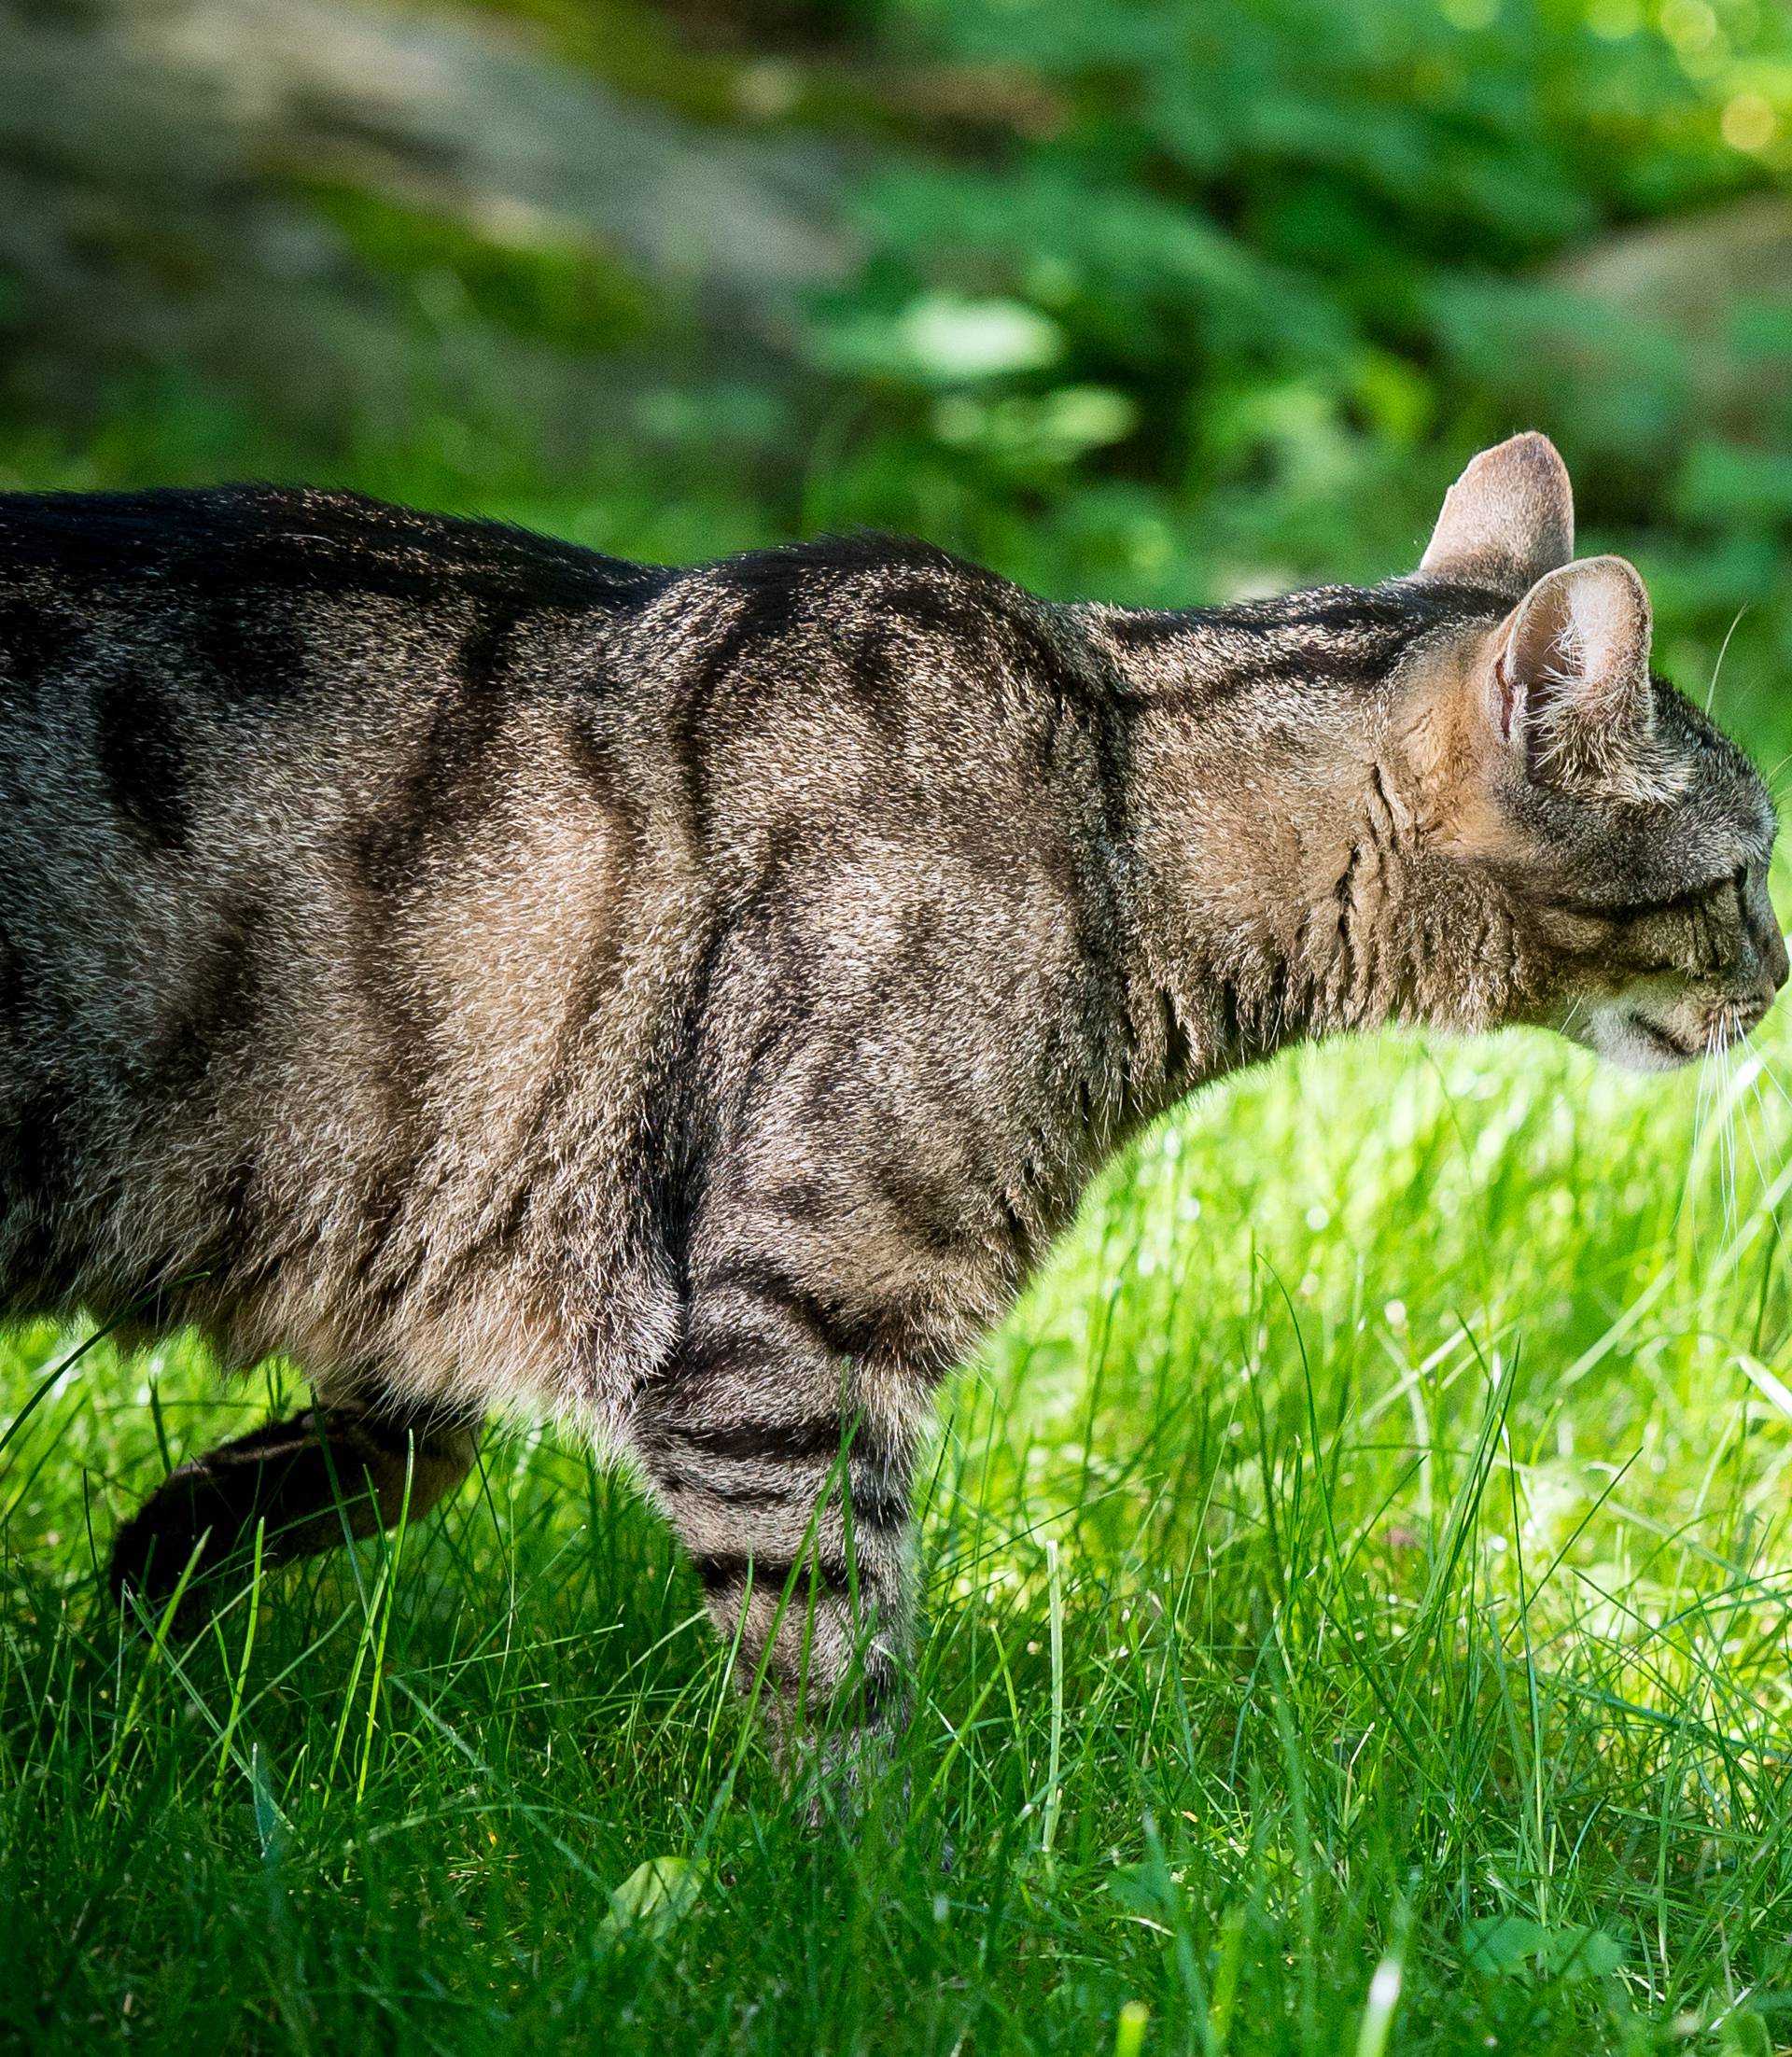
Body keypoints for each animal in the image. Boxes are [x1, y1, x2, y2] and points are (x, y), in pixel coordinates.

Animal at [0, 438, 1785, 1785]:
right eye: (1744, 872)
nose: (1781, 975)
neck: (1116, 808)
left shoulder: (470, 1217)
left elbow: (395, 1443)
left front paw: (158, 1587)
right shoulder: (778, 1350)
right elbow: (840, 1685)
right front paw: (857, 1900)